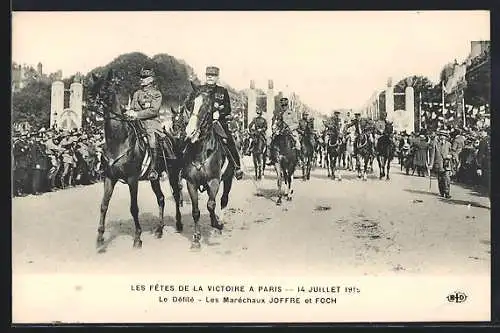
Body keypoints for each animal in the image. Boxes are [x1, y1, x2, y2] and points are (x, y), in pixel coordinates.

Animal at [88, 69, 184, 249]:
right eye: (92, 87)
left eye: (105, 88)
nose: (88, 106)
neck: (119, 140)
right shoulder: (109, 177)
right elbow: (104, 205)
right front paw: (100, 238)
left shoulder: (133, 179)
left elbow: (134, 208)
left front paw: (138, 238)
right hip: (154, 178)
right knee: (161, 198)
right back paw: (159, 229)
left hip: (173, 174)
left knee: (176, 195)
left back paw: (179, 224)